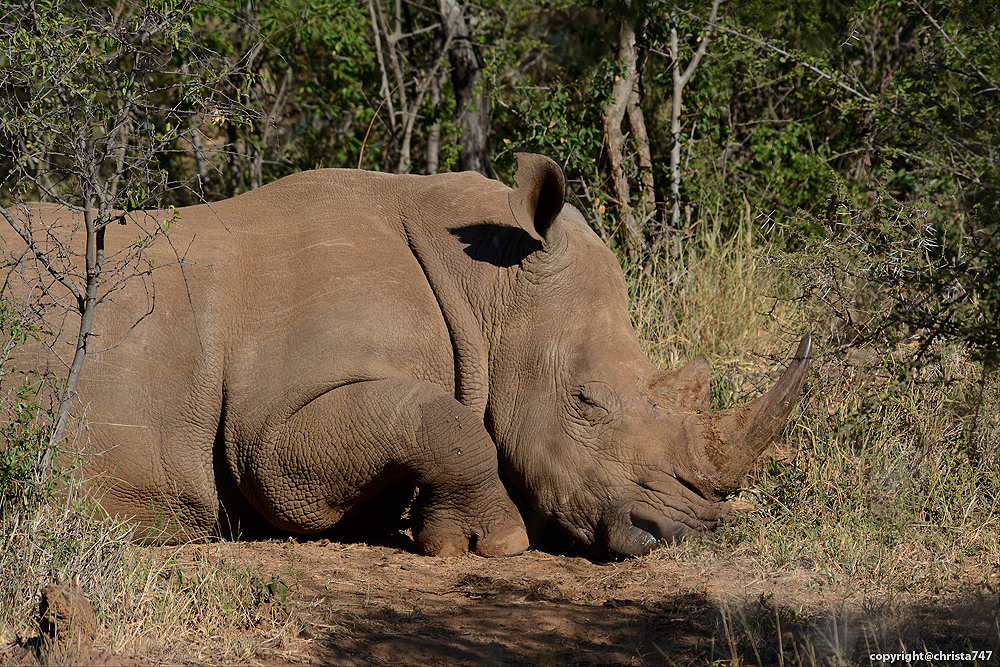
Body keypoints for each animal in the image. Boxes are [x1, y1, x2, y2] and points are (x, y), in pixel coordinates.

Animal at [0, 154, 808, 556]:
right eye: (585, 400)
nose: (682, 535)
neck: (487, 287)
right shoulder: (269, 431)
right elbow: (444, 422)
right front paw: (488, 543)